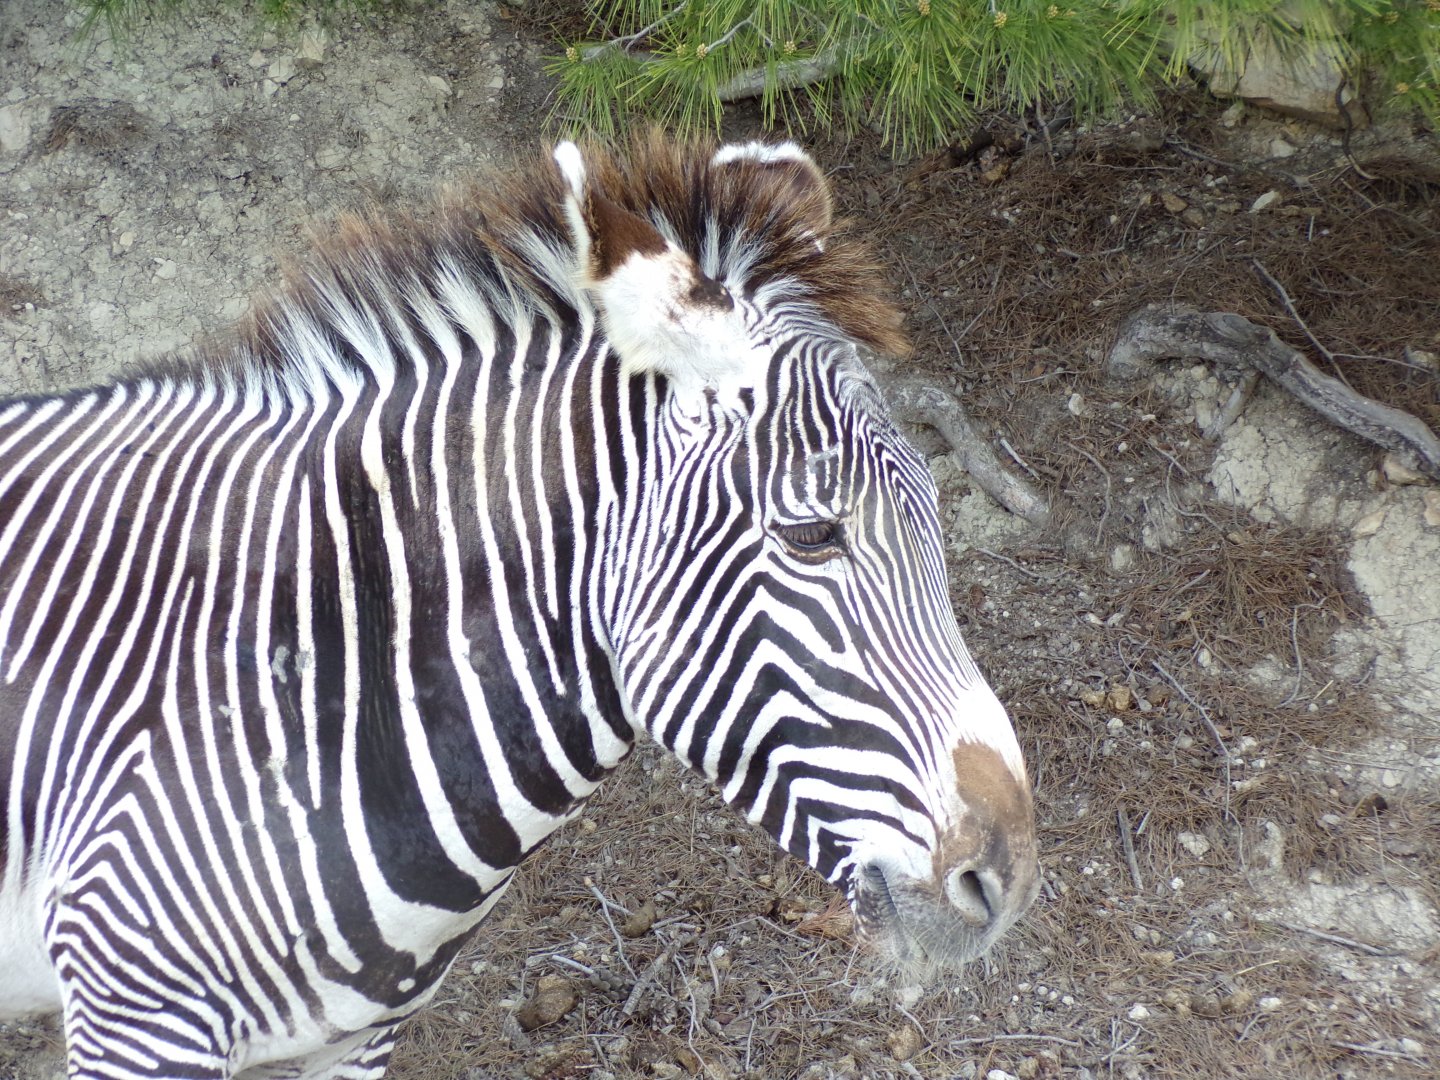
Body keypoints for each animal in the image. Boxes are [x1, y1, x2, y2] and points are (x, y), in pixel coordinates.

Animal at [0, 135, 1038, 1079]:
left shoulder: (354, 1038)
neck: (316, 668)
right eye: (814, 534)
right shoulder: (138, 1014)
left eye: (937, 510)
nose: (1011, 878)